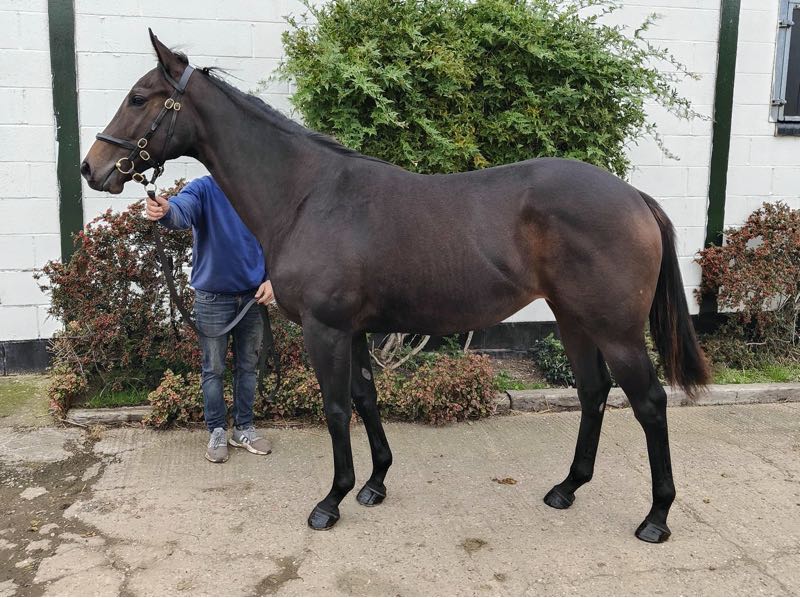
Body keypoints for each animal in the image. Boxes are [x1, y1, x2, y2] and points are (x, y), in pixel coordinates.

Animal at [81, 30, 710, 543]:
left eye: (138, 98)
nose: (93, 167)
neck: (307, 195)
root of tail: (634, 197)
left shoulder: (326, 330)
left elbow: (336, 408)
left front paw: (330, 501)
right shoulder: (354, 330)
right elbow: (365, 397)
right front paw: (375, 483)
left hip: (615, 330)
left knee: (649, 403)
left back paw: (656, 518)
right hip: (573, 319)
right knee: (593, 392)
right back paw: (567, 489)